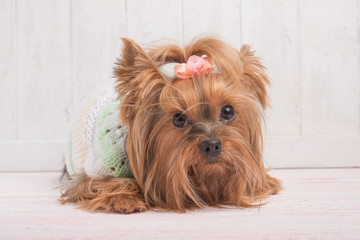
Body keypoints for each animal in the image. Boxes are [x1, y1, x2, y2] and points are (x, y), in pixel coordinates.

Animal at [60, 36, 282, 213]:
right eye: (179, 119)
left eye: (228, 111)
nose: (212, 145)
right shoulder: (101, 167)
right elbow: (100, 184)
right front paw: (124, 200)